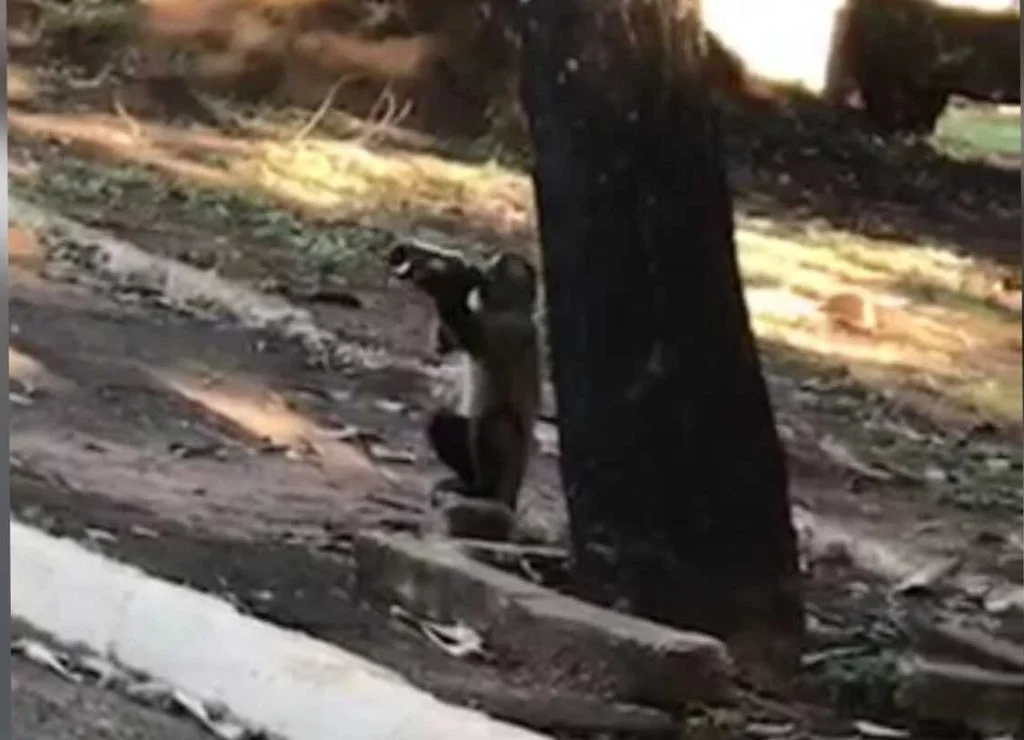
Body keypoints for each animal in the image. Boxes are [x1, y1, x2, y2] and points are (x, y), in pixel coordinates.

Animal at [385, 240, 544, 540]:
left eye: (491, 272)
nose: (479, 271)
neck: (507, 307)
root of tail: (512, 498)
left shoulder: (511, 328)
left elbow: (474, 336)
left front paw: (444, 277)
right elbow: (445, 344)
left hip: (511, 472)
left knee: (493, 424)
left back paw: (481, 490)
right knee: (444, 420)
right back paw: (465, 483)